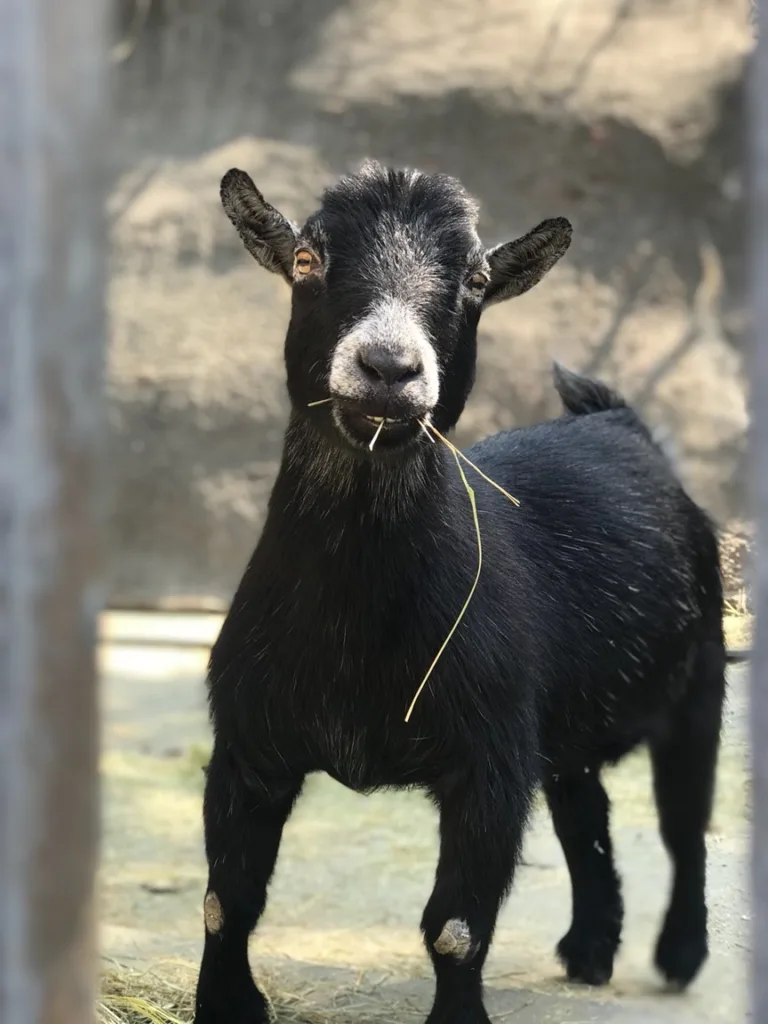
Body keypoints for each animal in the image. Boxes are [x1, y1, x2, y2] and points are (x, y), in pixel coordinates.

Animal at [194, 161, 729, 1024]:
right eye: (306, 259)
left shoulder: (489, 762)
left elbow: (455, 927)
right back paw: (590, 950)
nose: (388, 368)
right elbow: (226, 901)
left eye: (475, 280)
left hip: (698, 684)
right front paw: (225, 1005)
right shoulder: (248, 745)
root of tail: (621, 424)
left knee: (685, 826)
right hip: (563, 725)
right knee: (586, 813)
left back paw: (678, 955)